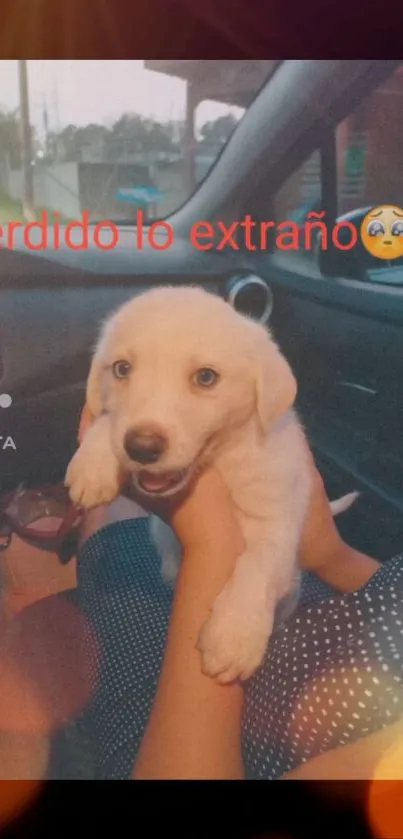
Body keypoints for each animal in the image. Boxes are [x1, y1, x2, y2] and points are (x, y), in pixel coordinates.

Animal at [66, 288, 350, 684]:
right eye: (121, 369)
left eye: (205, 377)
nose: (141, 448)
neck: (222, 461)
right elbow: (109, 418)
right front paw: (94, 463)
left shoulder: (278, 515)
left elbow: (258, 566)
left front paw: (234, 636)